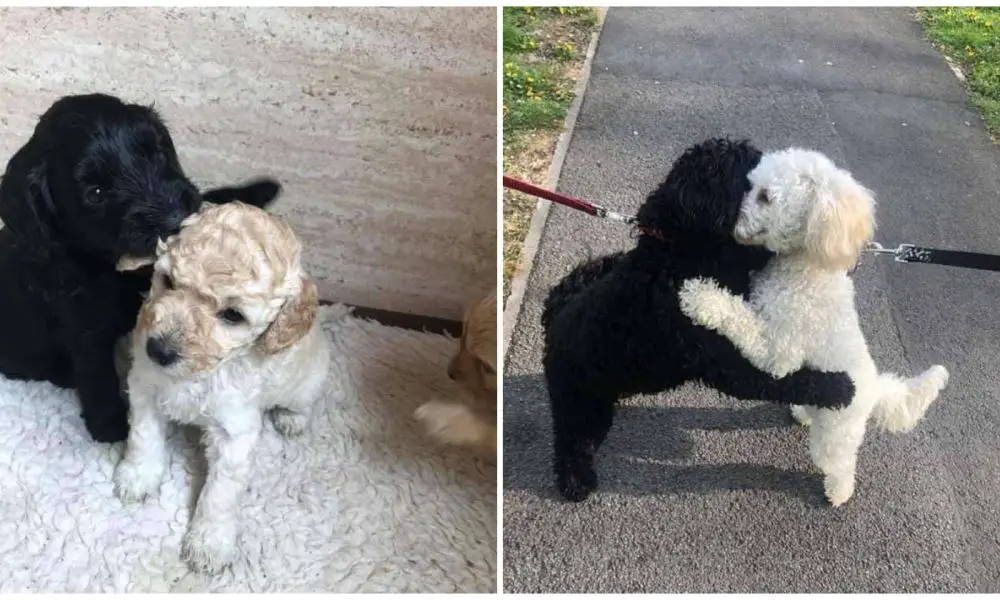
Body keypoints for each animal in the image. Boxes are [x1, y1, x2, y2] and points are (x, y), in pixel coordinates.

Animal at [0, 92, 282, 440]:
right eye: (96, 193)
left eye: (156, 154)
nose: (175, 220)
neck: (107, 264)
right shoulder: (85, 332)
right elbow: (97, 376)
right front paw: (111, 426)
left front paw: (258, 189)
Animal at [544, 137, 856, 502]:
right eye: (748, 178)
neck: (676, 252)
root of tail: (552, 319)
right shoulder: (725, 363)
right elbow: (783, 379)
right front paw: (839, 387)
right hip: (579, 404)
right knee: (572, 442)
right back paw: (575, 481)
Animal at [676, 146, 948, 506]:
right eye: (750, 184)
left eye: (765, 196)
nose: (731, 222)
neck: (808, 265)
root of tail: (875, 389)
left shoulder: (779, 353)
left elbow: (739, 317)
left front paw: (700, 298)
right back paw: (802, 413)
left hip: (835, 435)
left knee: (840, 464)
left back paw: (839, 493)